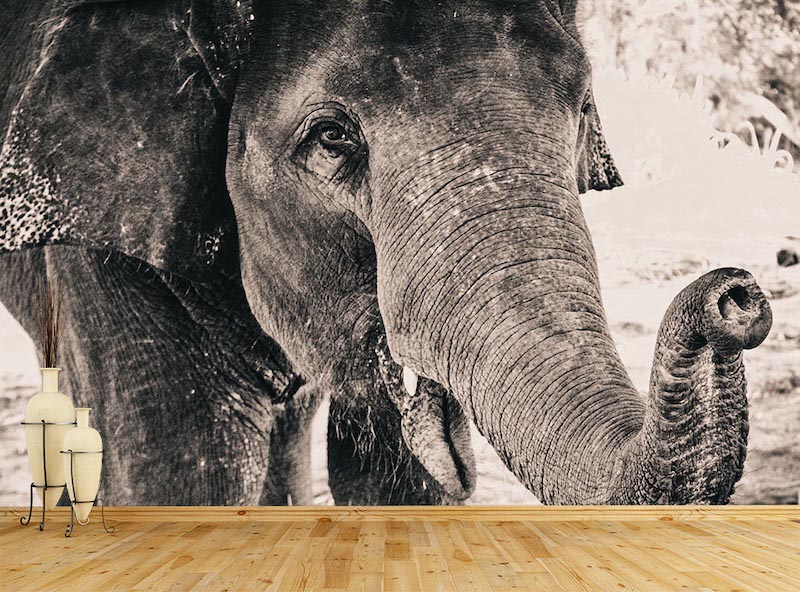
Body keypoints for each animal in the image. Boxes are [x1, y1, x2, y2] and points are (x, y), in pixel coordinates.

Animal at [0, 0, 772, 506]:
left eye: (582, 112)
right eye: (331, 138)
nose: (735, 294)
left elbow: (392, 484)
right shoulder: (106, 213)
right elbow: (183, 477)